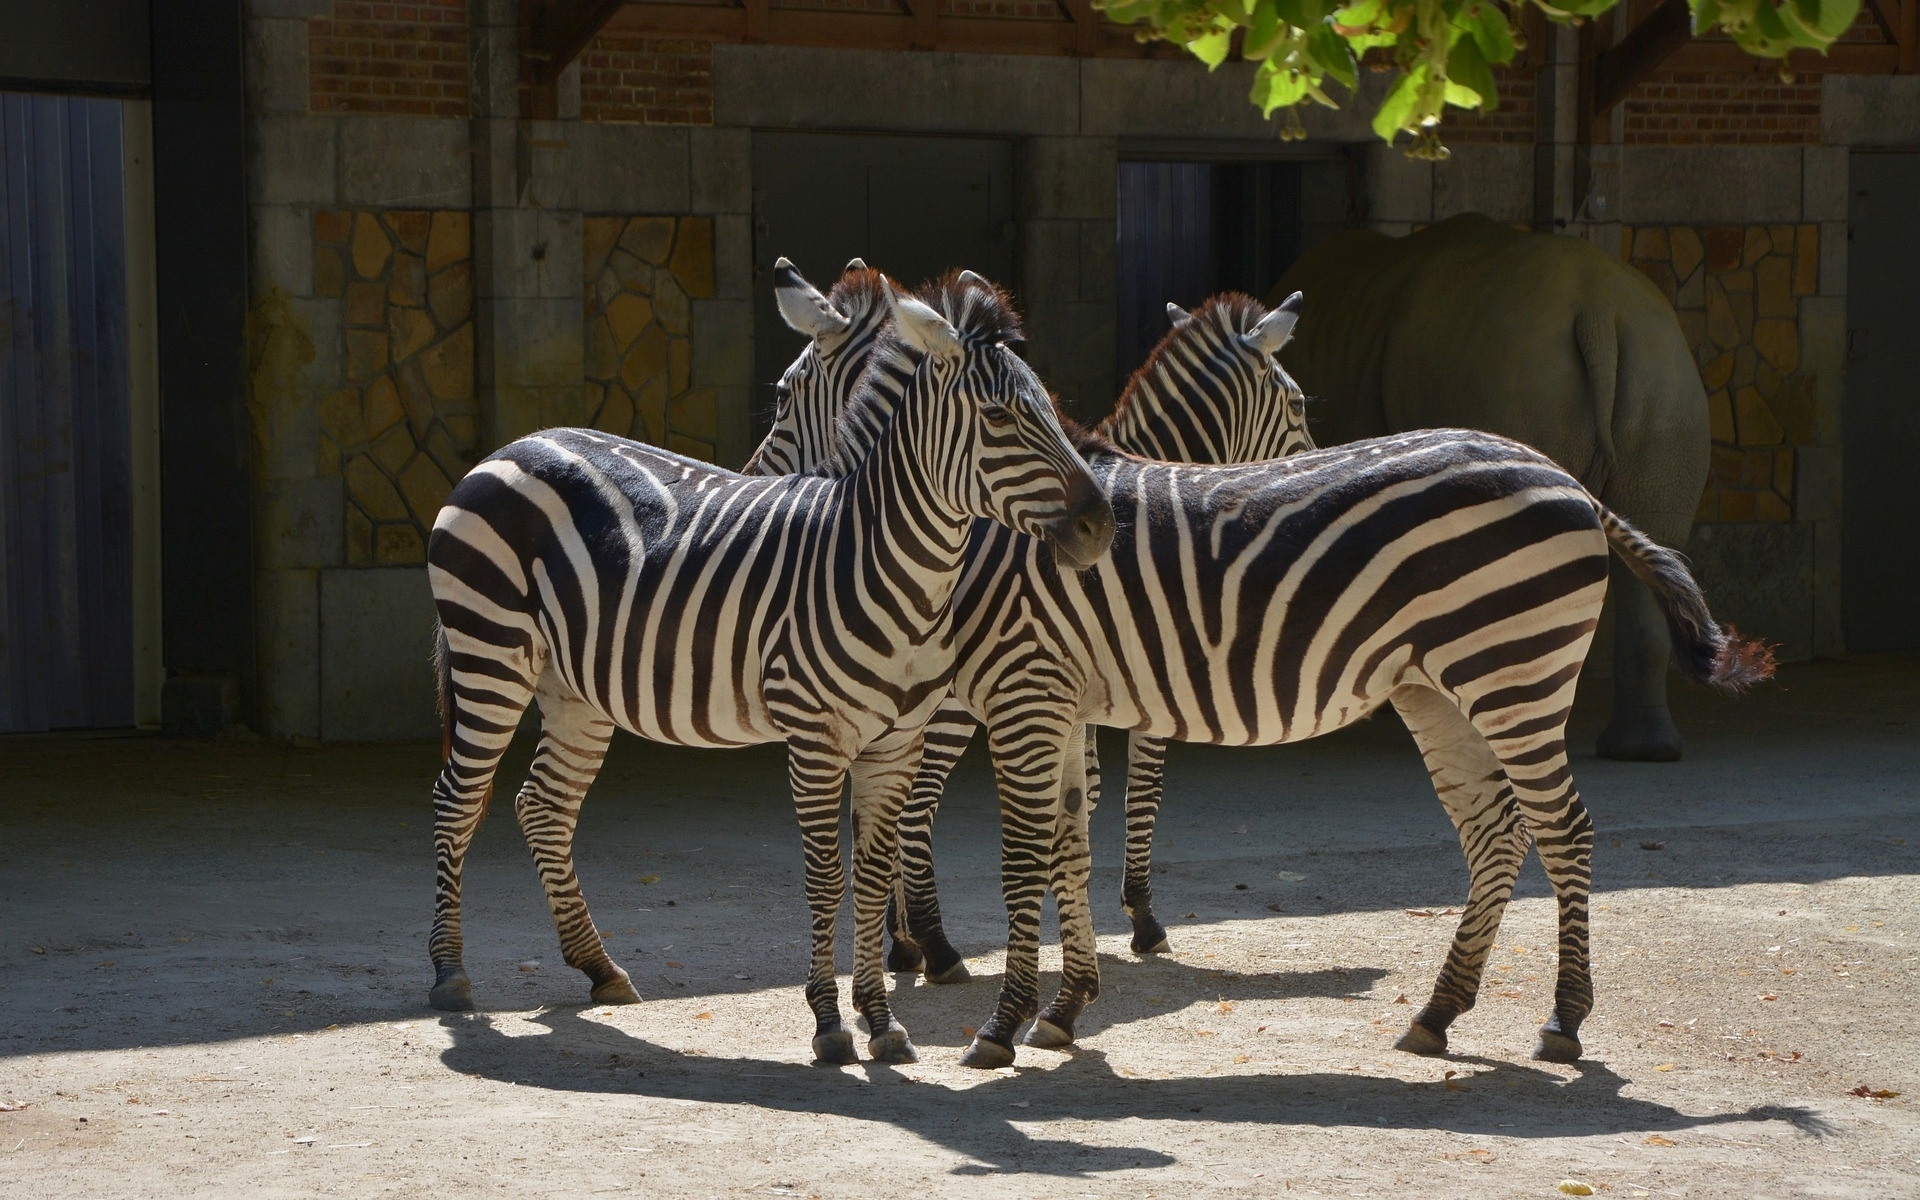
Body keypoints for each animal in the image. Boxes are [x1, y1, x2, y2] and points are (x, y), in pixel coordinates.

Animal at [423, 264, 1114, 1068]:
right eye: (1002, 417)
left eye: (1051, 409)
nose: (1102, 525)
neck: (884, 564)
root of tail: (511, 445)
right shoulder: (815, 736)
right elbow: (826, 876)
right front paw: (829, 1022)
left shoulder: (896, 743)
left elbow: (870, 874)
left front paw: (881, 1019)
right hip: (489, 653)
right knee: (456, 799)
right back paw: (450, 973)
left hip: (575, 690)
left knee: (543, 806)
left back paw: (599, 967)